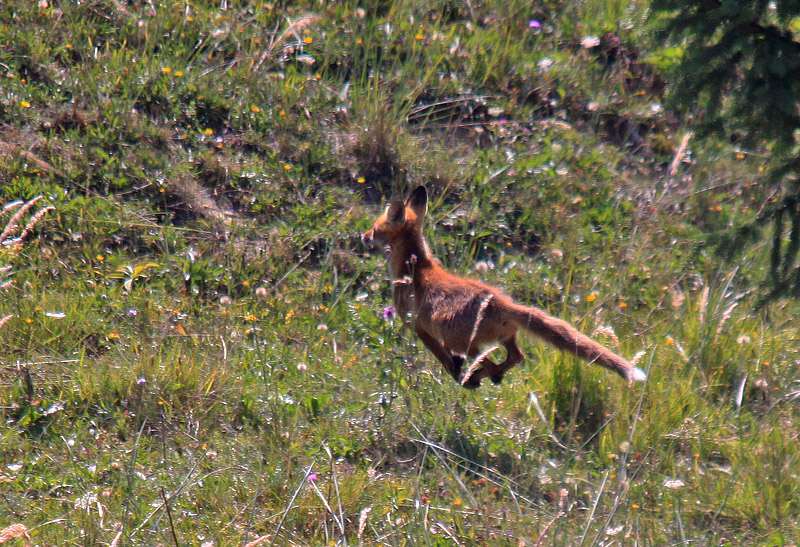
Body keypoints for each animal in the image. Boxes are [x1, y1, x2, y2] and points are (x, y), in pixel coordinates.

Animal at [360, 187, 648, 390]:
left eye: (374, 228)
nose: (362, 237)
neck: (416, 266)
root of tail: (502, 303)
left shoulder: (418, 327)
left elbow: (441, 355)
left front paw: (456, 371)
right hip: (503, 339)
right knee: (517, 357)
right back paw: (491, 375)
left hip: (463, 341)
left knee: (487, 361)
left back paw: (474, 377)